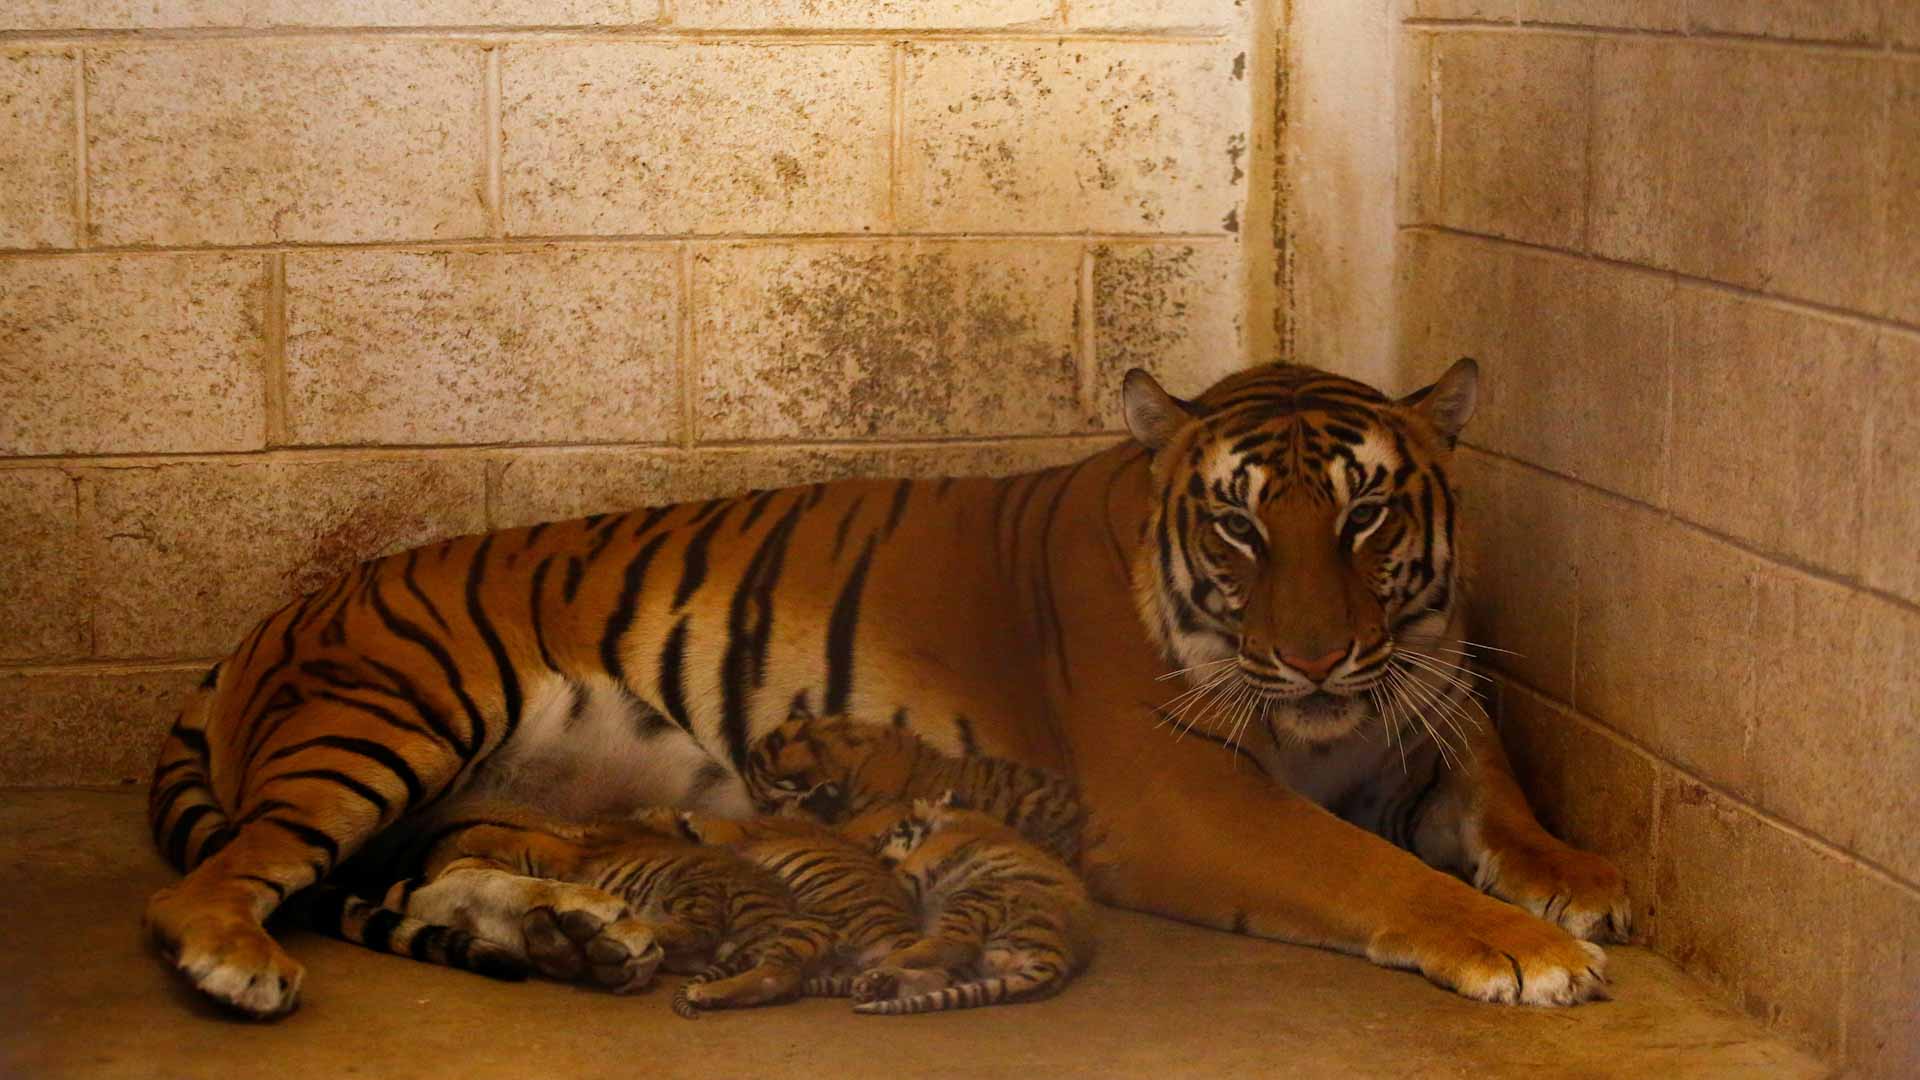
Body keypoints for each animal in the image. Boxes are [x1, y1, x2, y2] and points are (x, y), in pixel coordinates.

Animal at [850, 794, 1095, 1015]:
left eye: (884, 838)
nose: (871, 851)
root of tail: (1060, 953)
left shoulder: (916, 868)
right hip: (978, 961)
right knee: (940, 976)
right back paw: (878, 983)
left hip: (975, 896)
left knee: (957, 944)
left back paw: (886, 965)